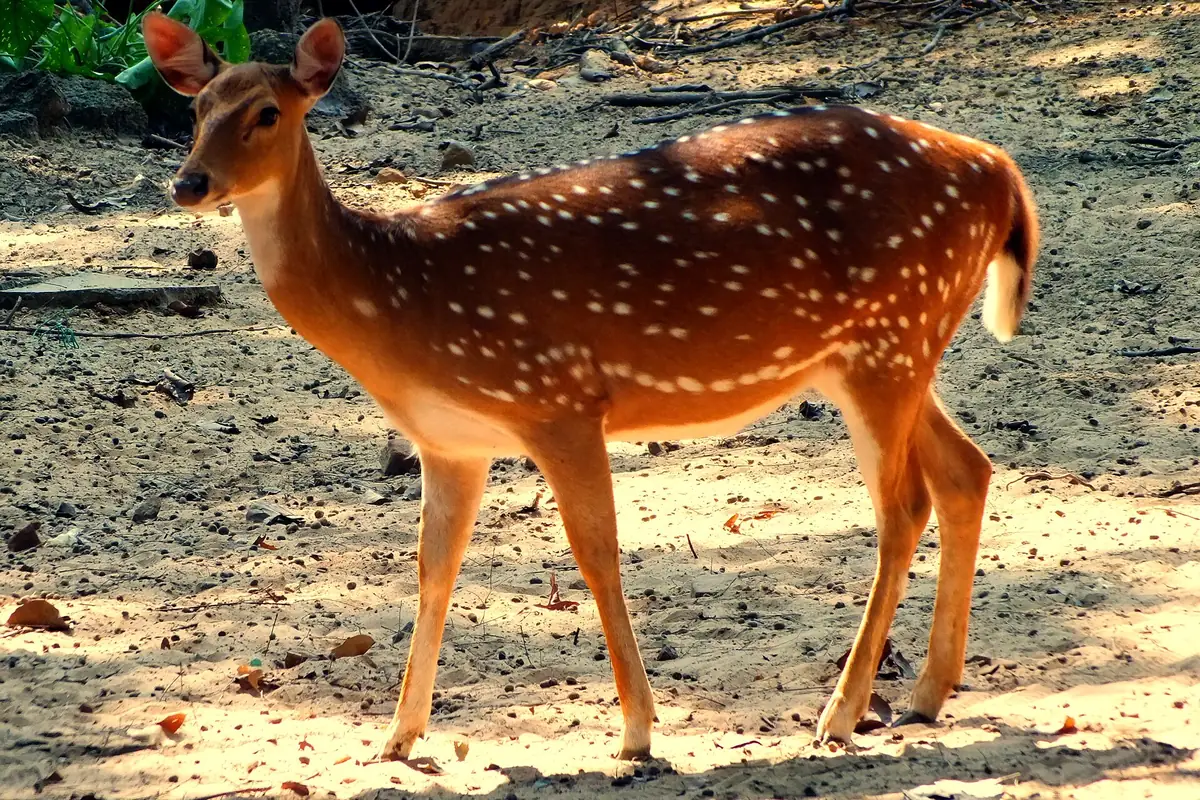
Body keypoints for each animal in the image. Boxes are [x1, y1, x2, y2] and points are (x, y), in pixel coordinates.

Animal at [142, 12, 1038, 762]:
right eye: (196, 109)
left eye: (268, 112)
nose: (189, 183)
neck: (402, 297)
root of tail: (999, 169)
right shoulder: (452, 441)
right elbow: (434, 568)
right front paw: (396, 737)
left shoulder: (559, 399)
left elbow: (597, 553)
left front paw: (637, 732)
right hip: (895, 346)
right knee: (967, 469)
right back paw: (926, 692)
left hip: (887, 341)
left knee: (903, 507)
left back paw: (842, 713)